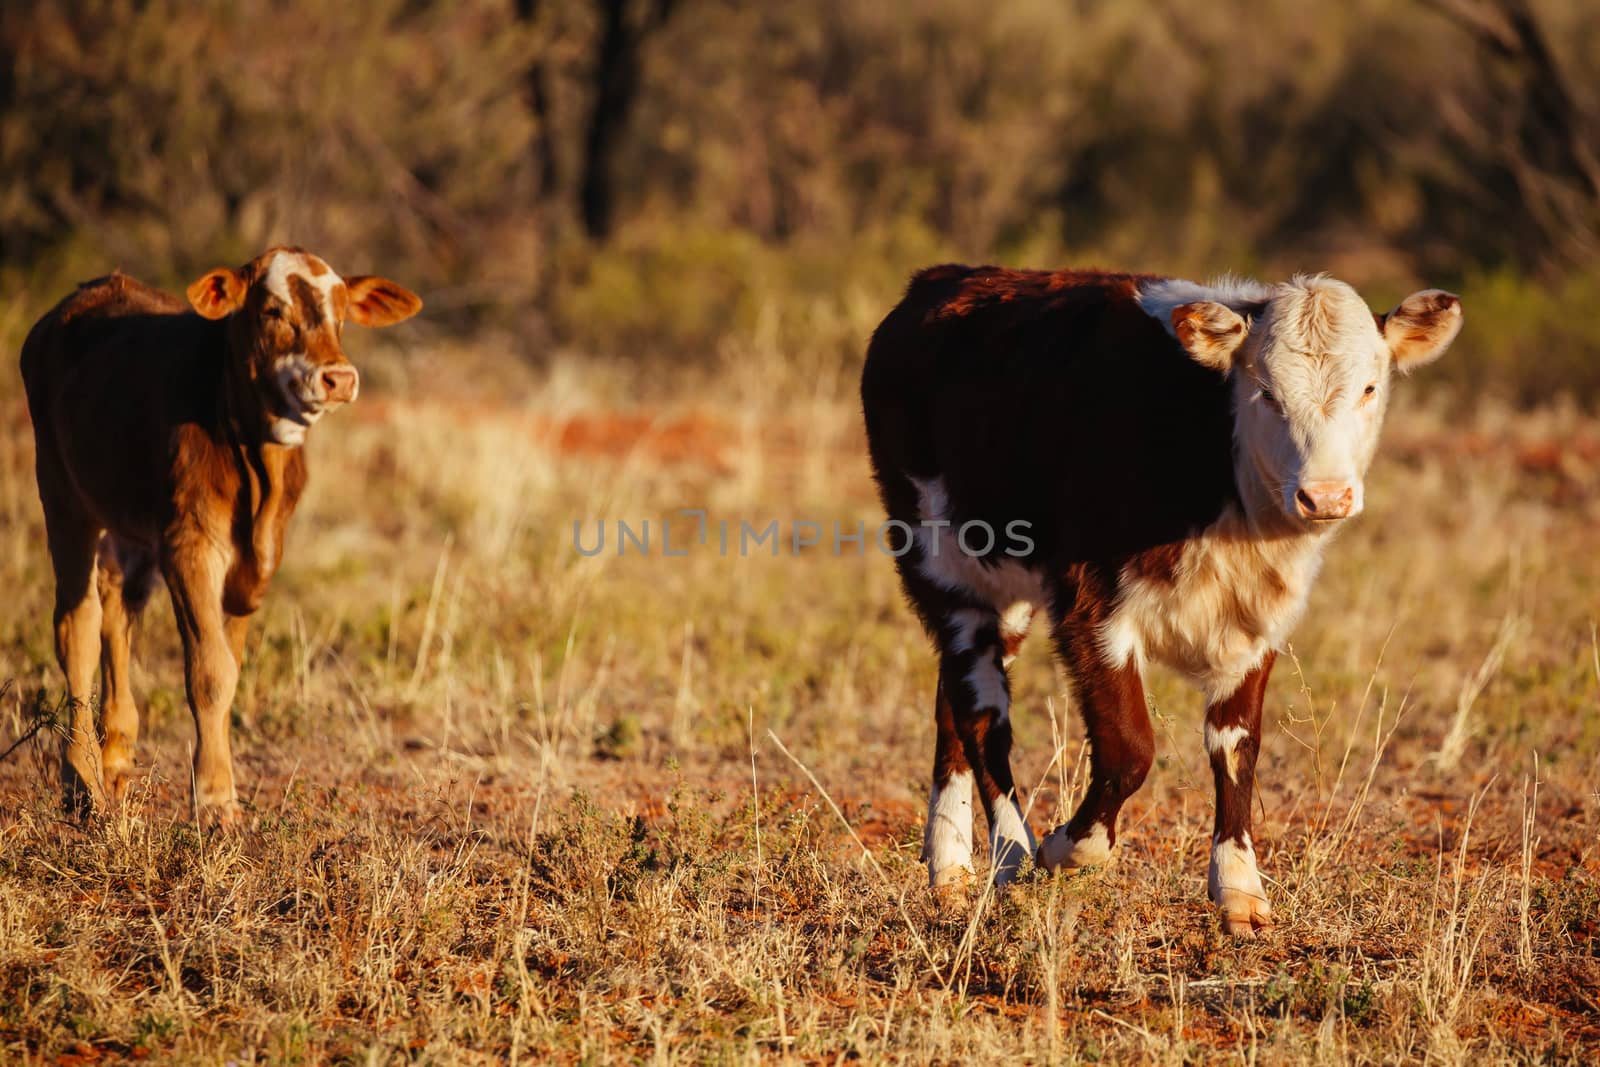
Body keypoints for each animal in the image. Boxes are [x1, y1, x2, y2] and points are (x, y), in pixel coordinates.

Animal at [22, 246, 422, 825]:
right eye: (272, 310)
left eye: (343, 310)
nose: (338, 378)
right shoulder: (188, 547)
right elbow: (211, 672)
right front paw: (214, 799)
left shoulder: (254, 563)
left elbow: (228, 667)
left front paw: (215, 787)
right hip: (62, 494)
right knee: (78, 625)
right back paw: (82, 779)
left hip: (128, 524)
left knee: (117, 611)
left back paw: (116, 755)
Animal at [864, 267, 1465, 934]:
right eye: (1266, 393)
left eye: (1369, 387)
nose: (1326, 495)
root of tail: (949, 279)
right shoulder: (1090, 603)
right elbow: (1129, 749)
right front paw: (1066, 850)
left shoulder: (1259, 621)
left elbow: (1237, 747)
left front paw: (1238, 886)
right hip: (939, 561)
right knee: (981, 716)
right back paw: (1011, 851)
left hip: (1003, 591)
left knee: (954, 700)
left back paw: (950, 869)